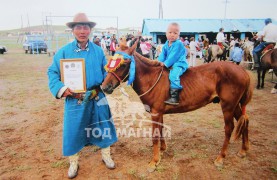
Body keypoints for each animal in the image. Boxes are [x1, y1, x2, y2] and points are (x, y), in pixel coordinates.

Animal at [101, 40, 252, 172]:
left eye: (123, 64)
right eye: (110, 63)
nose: (104, 87)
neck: (151, 78)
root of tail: (243, 71)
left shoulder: (155, 112)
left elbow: (155, 135)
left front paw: (154, 161)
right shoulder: (159, 113)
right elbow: (161, 130)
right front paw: (162, 150)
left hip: (228, 106)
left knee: (229, 128)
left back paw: (221, 157)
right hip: (234, 105)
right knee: (244, 120)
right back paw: (244, 150)